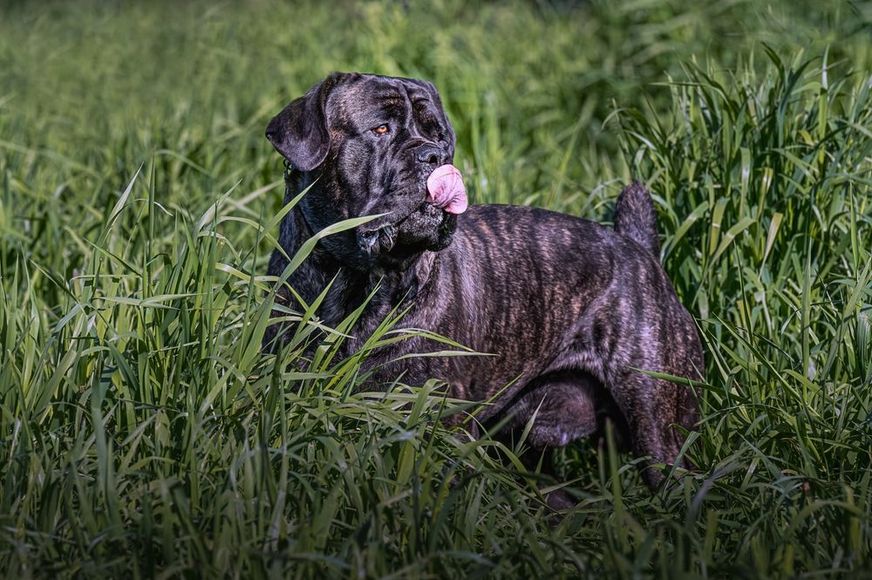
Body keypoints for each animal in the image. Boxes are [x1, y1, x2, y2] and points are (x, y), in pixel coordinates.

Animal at [264, 73, 700, 508]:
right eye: (380, 129)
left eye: (439, 135)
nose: (435, 156)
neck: (357, 283)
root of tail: (639, 249)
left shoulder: (441, 423)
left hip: (659, 424)